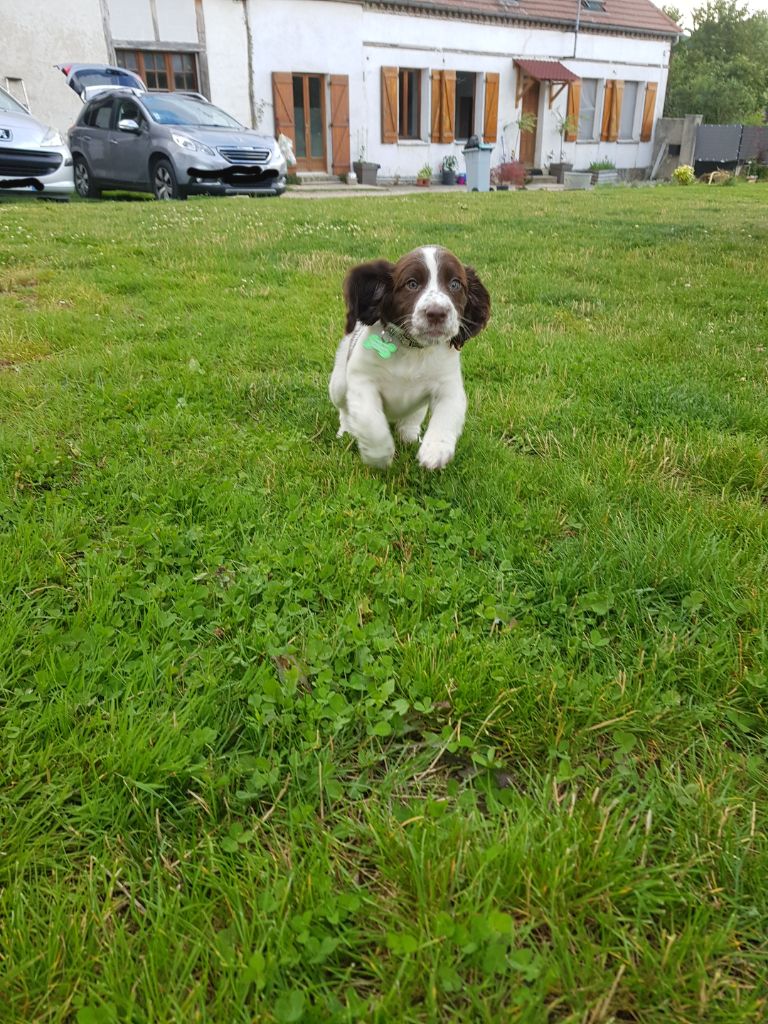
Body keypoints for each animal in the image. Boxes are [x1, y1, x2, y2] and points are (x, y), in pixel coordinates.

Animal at [327, 245, 489, 468]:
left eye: (455, 284)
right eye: (412, 284)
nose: (437, 313)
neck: (414, 350)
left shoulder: (449, 385)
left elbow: (448, 414)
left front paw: (435, 450)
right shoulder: (362, 379)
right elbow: (370, 419)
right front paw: (378, 454)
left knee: (412, 417)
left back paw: (410, 436)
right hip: (339, 384)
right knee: (344, 409)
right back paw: (347, 430)